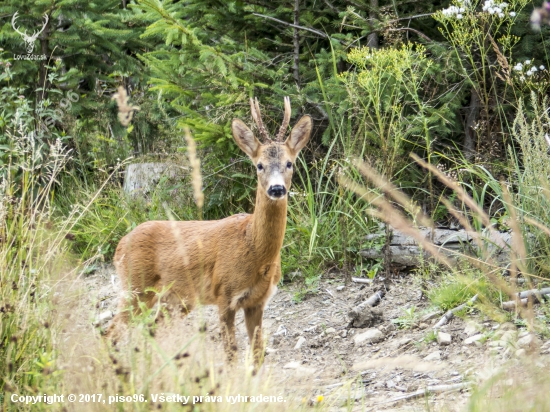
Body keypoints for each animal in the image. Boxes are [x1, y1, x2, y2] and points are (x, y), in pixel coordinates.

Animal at [110, 96, 312, 364]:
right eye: (259, 165)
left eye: (290, 163)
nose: (277, 189)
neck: (253, 246)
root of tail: (119, 245)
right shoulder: (224, 295)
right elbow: (231, 355)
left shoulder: (257, 302)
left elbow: (257, 355)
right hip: (136, 286)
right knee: (111, 330)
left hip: (174, 299)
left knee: (152, 331)